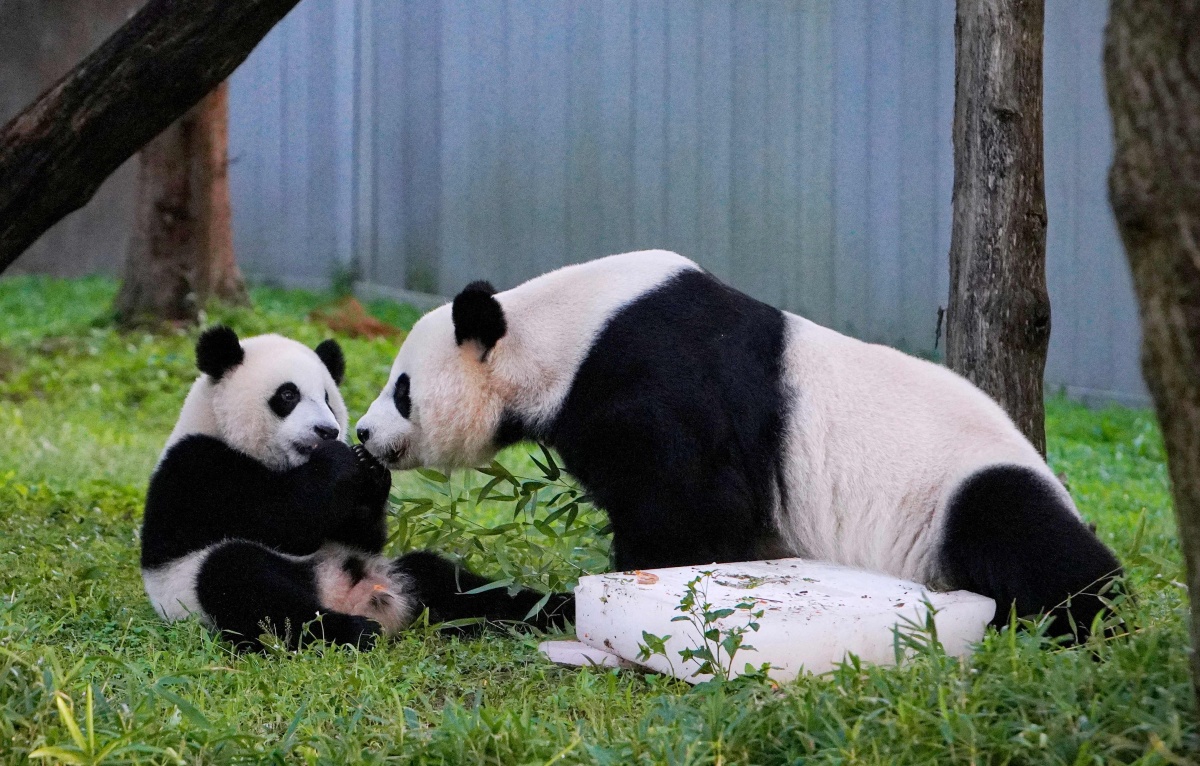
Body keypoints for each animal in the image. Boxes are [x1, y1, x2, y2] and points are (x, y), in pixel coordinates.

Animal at [140, 326, 571, 653]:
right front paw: (341, 460)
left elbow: (360, 534)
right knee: (242, 582)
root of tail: (350, 596)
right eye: (288, 395)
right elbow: (282, 520)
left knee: (456, 586)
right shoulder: (199, 467)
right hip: (193, 588)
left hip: (394, 572)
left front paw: (372, 469)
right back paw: (352, 631)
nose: (326, 430)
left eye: (328, 398)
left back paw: (556, 609)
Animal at [355, 252, 1123, 643]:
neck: (561, 330)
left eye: (401, 389)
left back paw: (1079, 623)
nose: (364, 435)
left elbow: (692, 512)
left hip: (962, 485)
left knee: (1027, 538)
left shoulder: (652, 377)